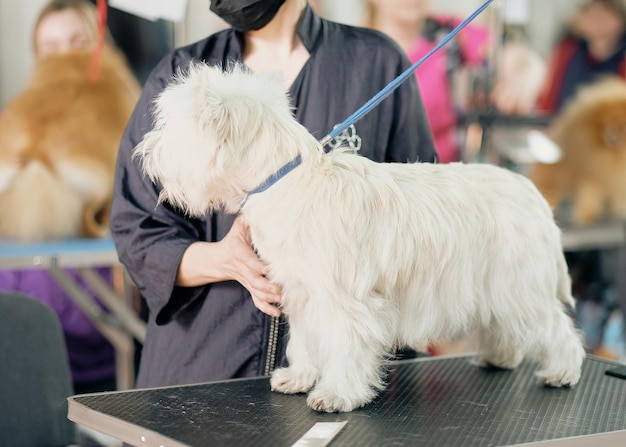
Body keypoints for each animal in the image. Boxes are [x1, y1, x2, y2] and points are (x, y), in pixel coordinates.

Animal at [133, 63, 584, 412]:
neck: (287, 181)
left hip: (518, 284)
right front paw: (300, 377)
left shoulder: (345, 300)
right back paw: (498, 357)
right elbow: (308, 341)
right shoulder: (303, 293)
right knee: (507, 328)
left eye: (172, 130)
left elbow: (346, 346)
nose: (144, 152)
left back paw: (562, 371)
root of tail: (532, 194)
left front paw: (336, 395)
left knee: (555, 328)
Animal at [528, 76, 626, 228]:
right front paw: (586, 215)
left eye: (622, 127)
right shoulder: (592, 174)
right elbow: (589, 196)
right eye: (606, 126)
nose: (613, 138)